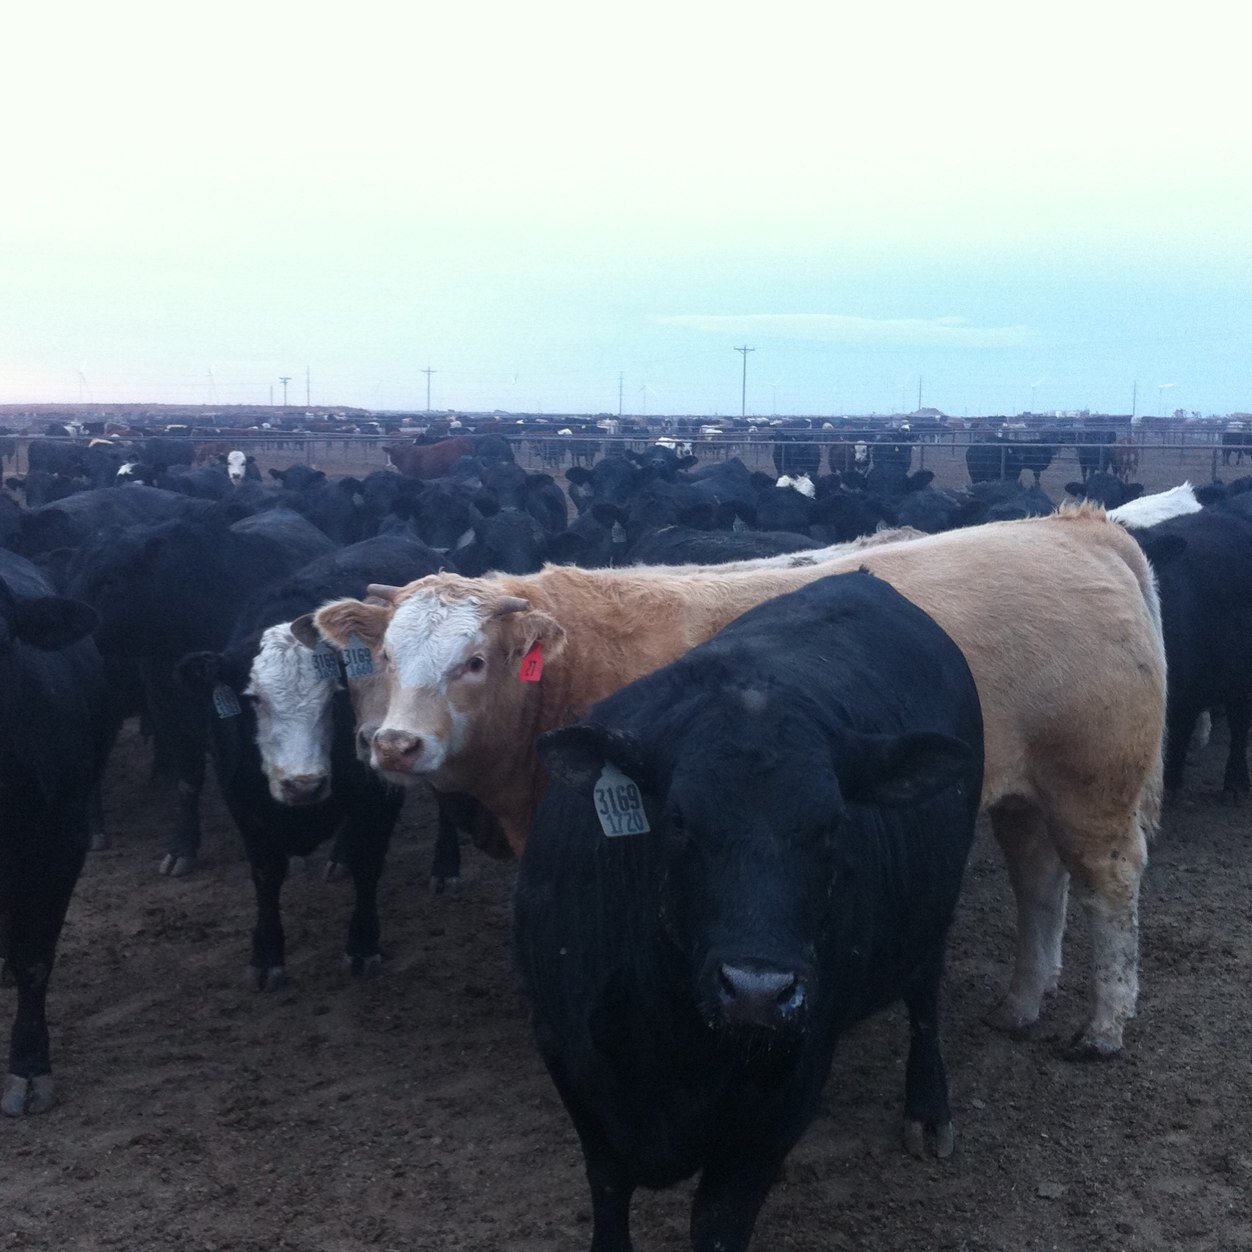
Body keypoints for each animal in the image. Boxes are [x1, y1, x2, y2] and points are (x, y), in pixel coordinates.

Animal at [316, 507, 1165, 1055]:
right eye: (385, 656)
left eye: (473, 661)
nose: (393, 743)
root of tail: (1075, 526)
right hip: (1025, 792)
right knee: (1039, 880)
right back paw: (1022, 1002)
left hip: (1094, 786)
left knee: (1111, 885)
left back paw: (1105, 1026)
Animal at [516, 572, 983, 1251]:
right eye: (678, 820)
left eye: (832, 824)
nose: (758, 990)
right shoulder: (570, 1061)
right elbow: (606, 1188)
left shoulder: (780, 1098)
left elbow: (719, 1221)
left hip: (932, 917)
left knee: (924, 1000)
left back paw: (928, 1110)